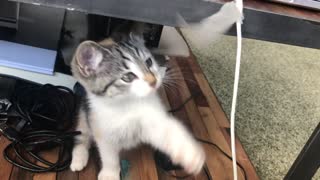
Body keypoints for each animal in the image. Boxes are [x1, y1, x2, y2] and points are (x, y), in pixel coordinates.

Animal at [69, 31, 205, 179]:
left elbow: (166, 132)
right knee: (81, 134)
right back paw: (78, 159)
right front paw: (110, 174)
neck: (128, 103)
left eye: (149, 62)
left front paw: (189, 153)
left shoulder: (152, 119)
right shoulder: (102, 129)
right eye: (128, 77)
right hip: (84, 113)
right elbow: (109, 156)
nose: (153, 81)